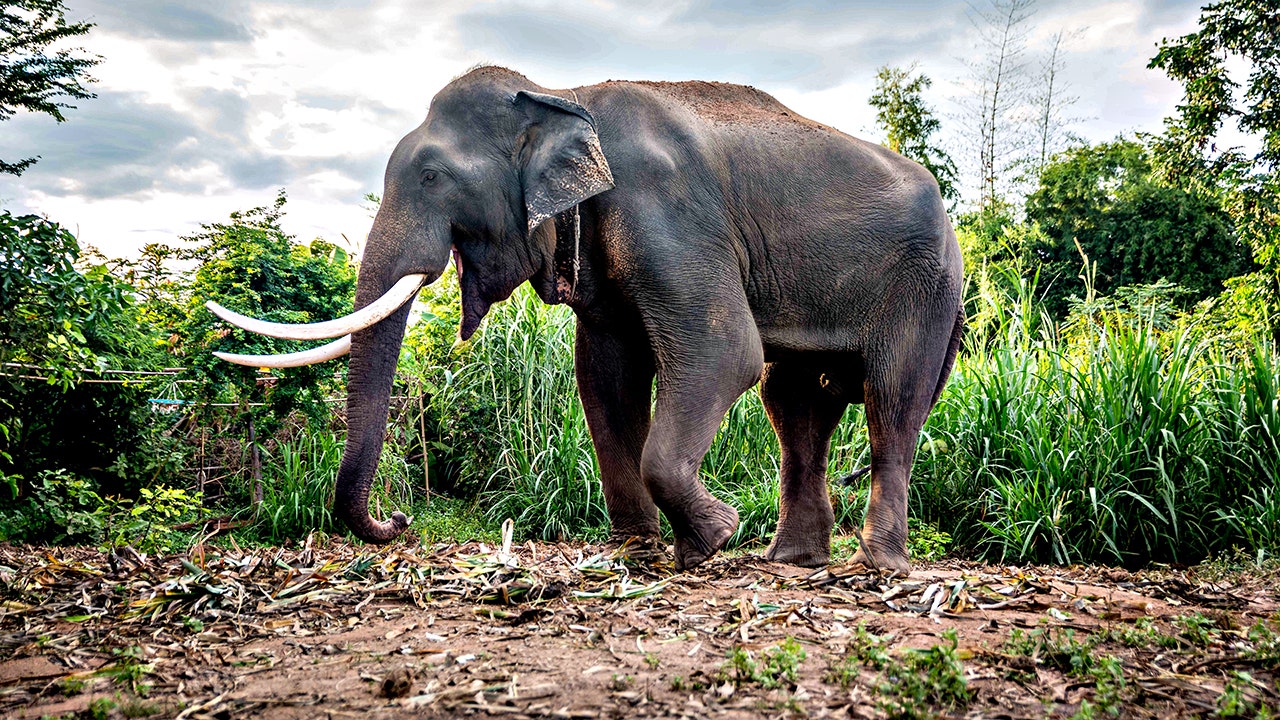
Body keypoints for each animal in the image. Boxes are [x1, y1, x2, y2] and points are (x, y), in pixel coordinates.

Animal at [208, 66, 965, 572]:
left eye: (431, 177)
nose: (397, 520)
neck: (563, 96)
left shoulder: (666, 209)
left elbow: (724, 353)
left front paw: (712, 540)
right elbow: (605, 378)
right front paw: (639, 549)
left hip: (926, 285)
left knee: (890, 399)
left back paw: (876, 566)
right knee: (795, 401)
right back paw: (793, 561)